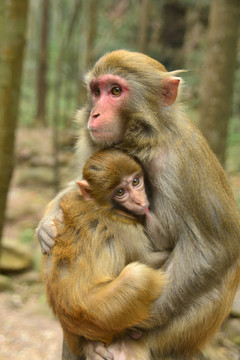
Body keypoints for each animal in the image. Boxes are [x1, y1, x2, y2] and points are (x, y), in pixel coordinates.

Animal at [43, 148, 169, 358]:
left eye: (136, 181)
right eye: (120, 192)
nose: (139, 200)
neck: (101, 205)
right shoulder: (125, 230)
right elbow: (147, 259)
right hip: (102, 311)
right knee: (137, 276)